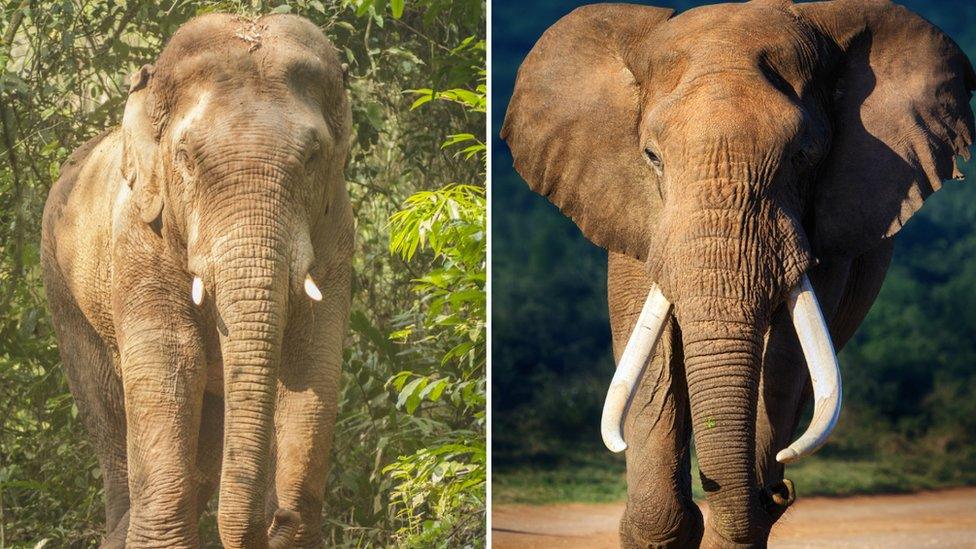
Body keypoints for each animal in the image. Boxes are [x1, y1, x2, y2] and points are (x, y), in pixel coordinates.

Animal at [43, 12, 354, 548]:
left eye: (313, 156)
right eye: (186, 156)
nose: (272, 520)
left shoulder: (337, 236)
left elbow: (311, 362)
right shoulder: (137, 239)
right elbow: (170, 360)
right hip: (63, 293)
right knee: (107, 413)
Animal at [504, 0, 976, 544]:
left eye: (803, 157)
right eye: (651, 157)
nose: (779, 492)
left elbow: (786, 357)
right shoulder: (633, 215)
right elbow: (649, 355)